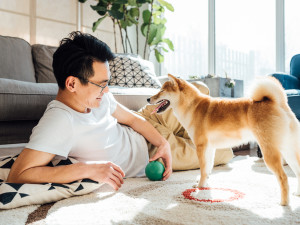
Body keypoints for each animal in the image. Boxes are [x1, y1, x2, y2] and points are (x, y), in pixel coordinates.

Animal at [148, 74, 300, 206]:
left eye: (161, 91)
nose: (148, 99)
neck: (192, 107)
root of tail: (278, 102)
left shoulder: (201, 146)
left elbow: (203, 169)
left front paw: (200, 187)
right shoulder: (209, 148)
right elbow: (207, 169)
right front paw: (205, 184)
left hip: (269, 152)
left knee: (283, 177)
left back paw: (284, 203)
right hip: (288, 151)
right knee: (297, 171)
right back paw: (297, 194)